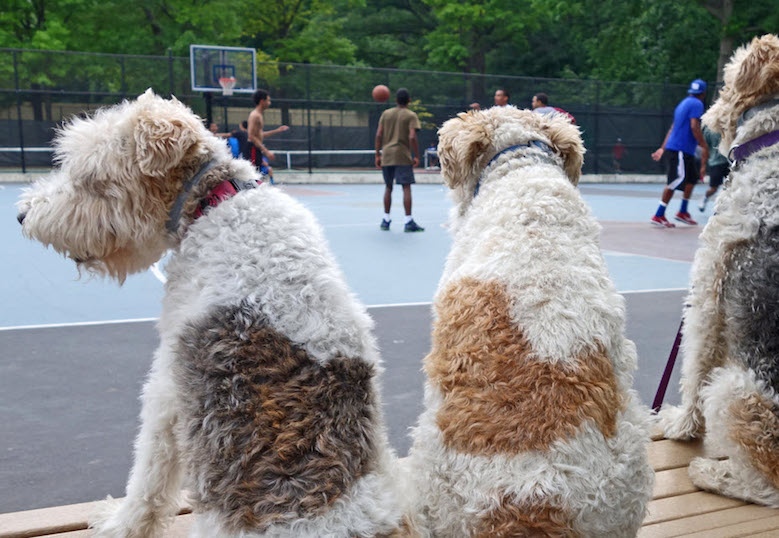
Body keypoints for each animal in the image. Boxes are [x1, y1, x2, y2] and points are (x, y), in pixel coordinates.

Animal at [16, 90, 408, 532]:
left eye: (90, 179)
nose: (21, 215)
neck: (215, 203)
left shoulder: (165, 386)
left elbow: (148, 477)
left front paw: (121, 524)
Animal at [660, 34, 779, 506]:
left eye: (729, 73)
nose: (708, 113)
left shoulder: (709, 292)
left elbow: (694, 367)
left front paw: (680, 426)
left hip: (735, 390)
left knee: (766, 488)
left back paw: (710, 472)